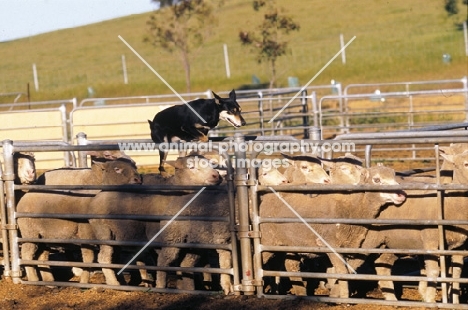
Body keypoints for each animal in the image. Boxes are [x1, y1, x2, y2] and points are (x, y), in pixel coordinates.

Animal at [260, 166, 406, 300]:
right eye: (377, 179)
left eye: (394, 177)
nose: (401, 195)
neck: (354, 206)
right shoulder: (331, 244)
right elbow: (342, 271)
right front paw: (344, 298)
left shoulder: (348, 246)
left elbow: (342, 270)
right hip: (268, 240)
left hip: (290, 242)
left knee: (290, 265)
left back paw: (300, 294)